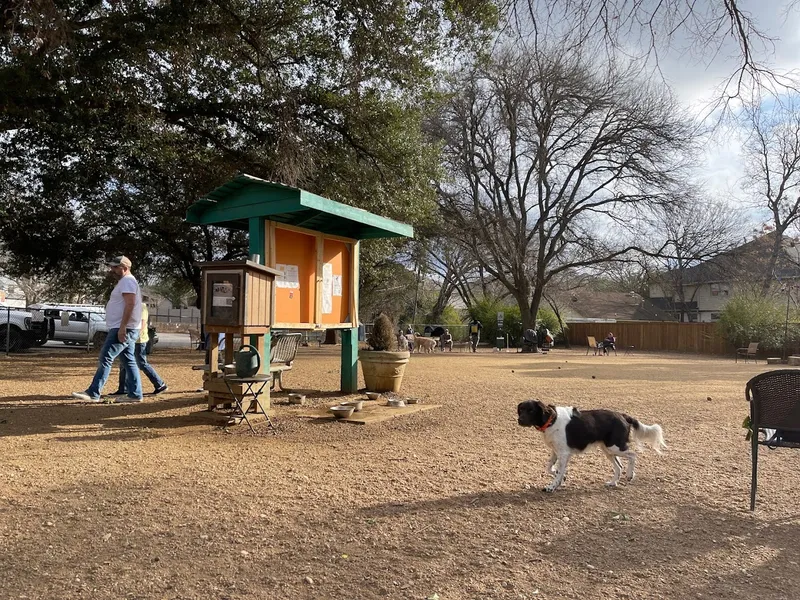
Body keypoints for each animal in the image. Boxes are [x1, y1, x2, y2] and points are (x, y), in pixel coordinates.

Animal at [516, 398, 664, 492]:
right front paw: (562, 477)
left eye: (531, 410)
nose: (519, 420)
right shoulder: (556, 451)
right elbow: (550, 468)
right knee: (619, 466)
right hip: (608, 450)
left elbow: (557, 473)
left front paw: (552, 487)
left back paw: (629, 475)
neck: (552, 419)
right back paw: (613, 482)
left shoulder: (563, 454)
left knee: (633, 455)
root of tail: (622, 416)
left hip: (614, 446)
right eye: (521, 410)